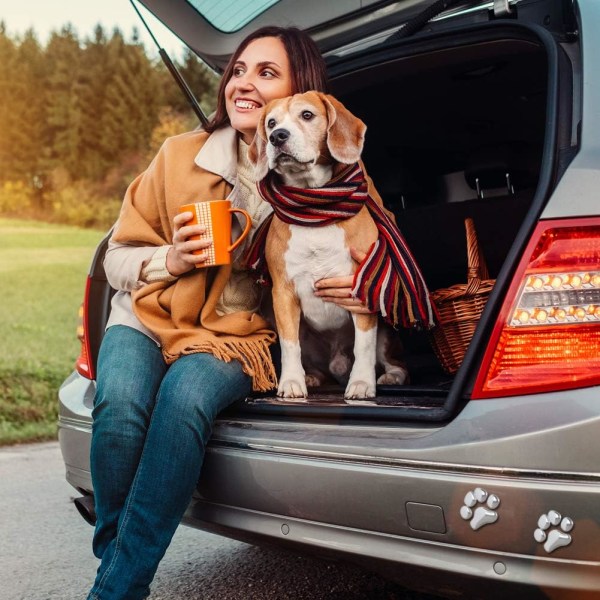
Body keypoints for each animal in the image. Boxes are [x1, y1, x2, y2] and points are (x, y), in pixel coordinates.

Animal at [247, 91, 408, 400]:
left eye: (307, 115)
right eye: (271, 122)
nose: (277, 136)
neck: (314, 209)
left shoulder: (360, 287)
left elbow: (363, 345)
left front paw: (362, 383)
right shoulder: (283, 294)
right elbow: (289, 345)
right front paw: (292, 381)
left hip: (386, 334)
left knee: (393, 361)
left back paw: (392, 376)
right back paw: (311, 377)